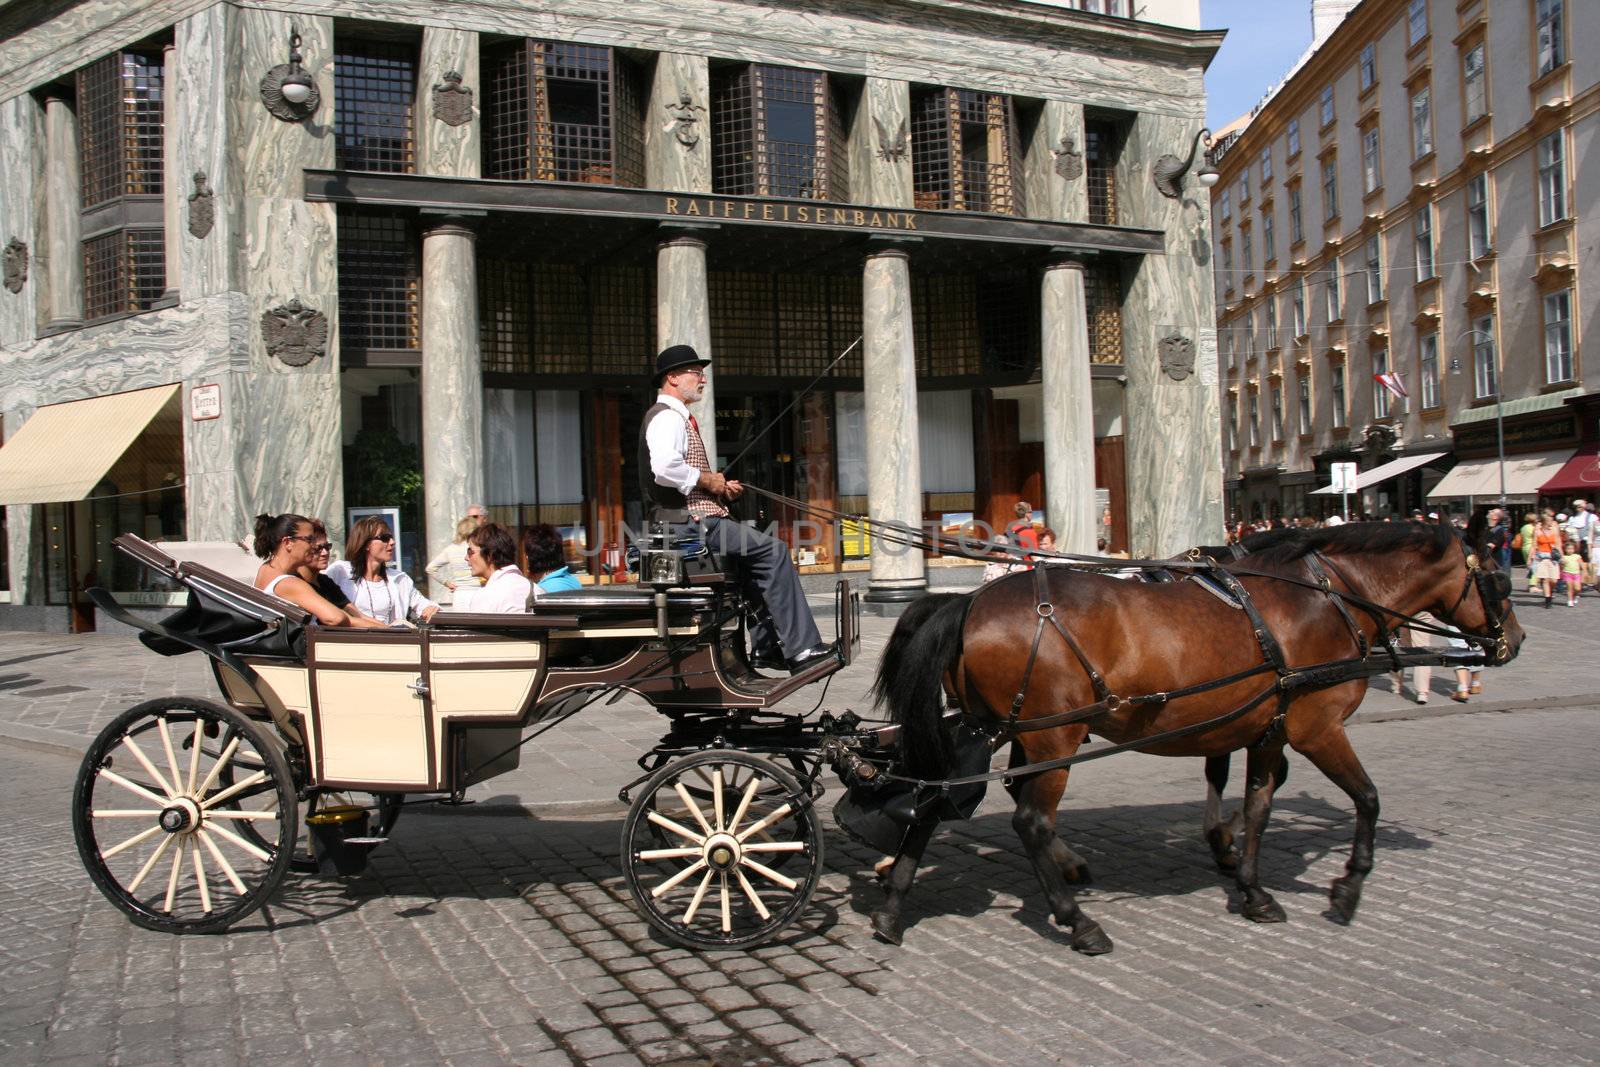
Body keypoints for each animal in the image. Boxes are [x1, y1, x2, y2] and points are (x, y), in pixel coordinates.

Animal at [876, 521, 1523, 947]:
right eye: (1496, 577)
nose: (1513, 640)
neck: (1324, 598)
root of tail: (966, 603)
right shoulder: (1316, 727)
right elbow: (1366, 797)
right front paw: (1346, 889)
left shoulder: (1263, 729)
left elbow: (1258, 802)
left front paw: (1249, 882)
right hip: (1052, 738)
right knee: (1030, 821)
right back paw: (1078, 920)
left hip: (997, 730)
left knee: (932, 803)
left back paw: (893, 906)